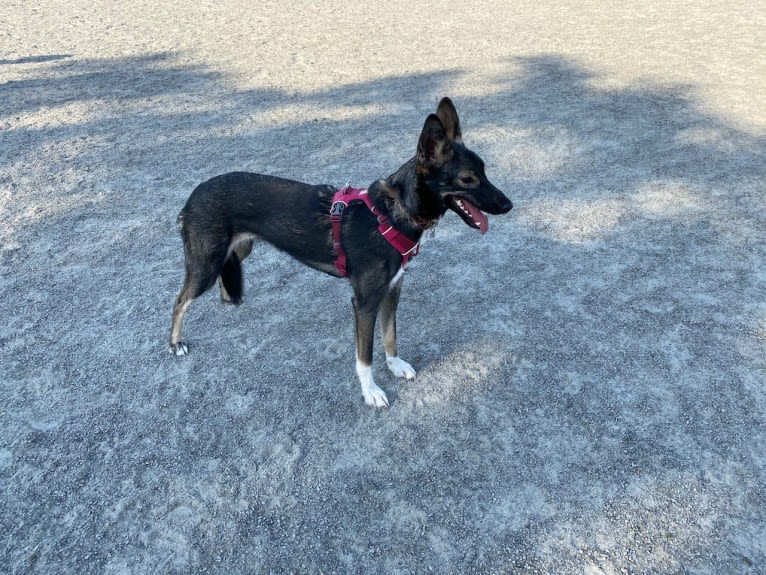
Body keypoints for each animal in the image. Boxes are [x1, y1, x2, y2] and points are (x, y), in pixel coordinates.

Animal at [171, 97, 512, 408]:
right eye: (467, 179)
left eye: (485, 171)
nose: (509, 205)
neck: (395, 212)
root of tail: (194, 193)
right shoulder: (364, 303)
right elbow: (365, 356)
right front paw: (371, 391)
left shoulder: (393, 289)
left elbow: (391, 335)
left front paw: (395, 365)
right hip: (205, 264)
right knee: (179, 301)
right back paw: (176, 344)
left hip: (238, 250)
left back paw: (228, 297)